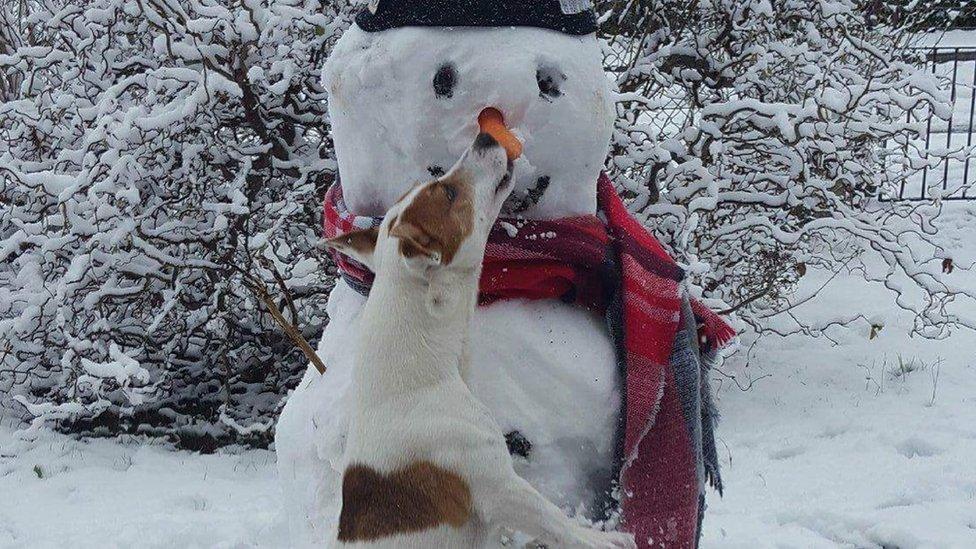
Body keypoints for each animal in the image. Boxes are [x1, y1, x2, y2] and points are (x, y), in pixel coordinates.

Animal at [320, 134, 636, 548]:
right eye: (449, 192)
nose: (484, 137)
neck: (421, 375)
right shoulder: (498, 487)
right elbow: (556, 522)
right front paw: (603, 540)